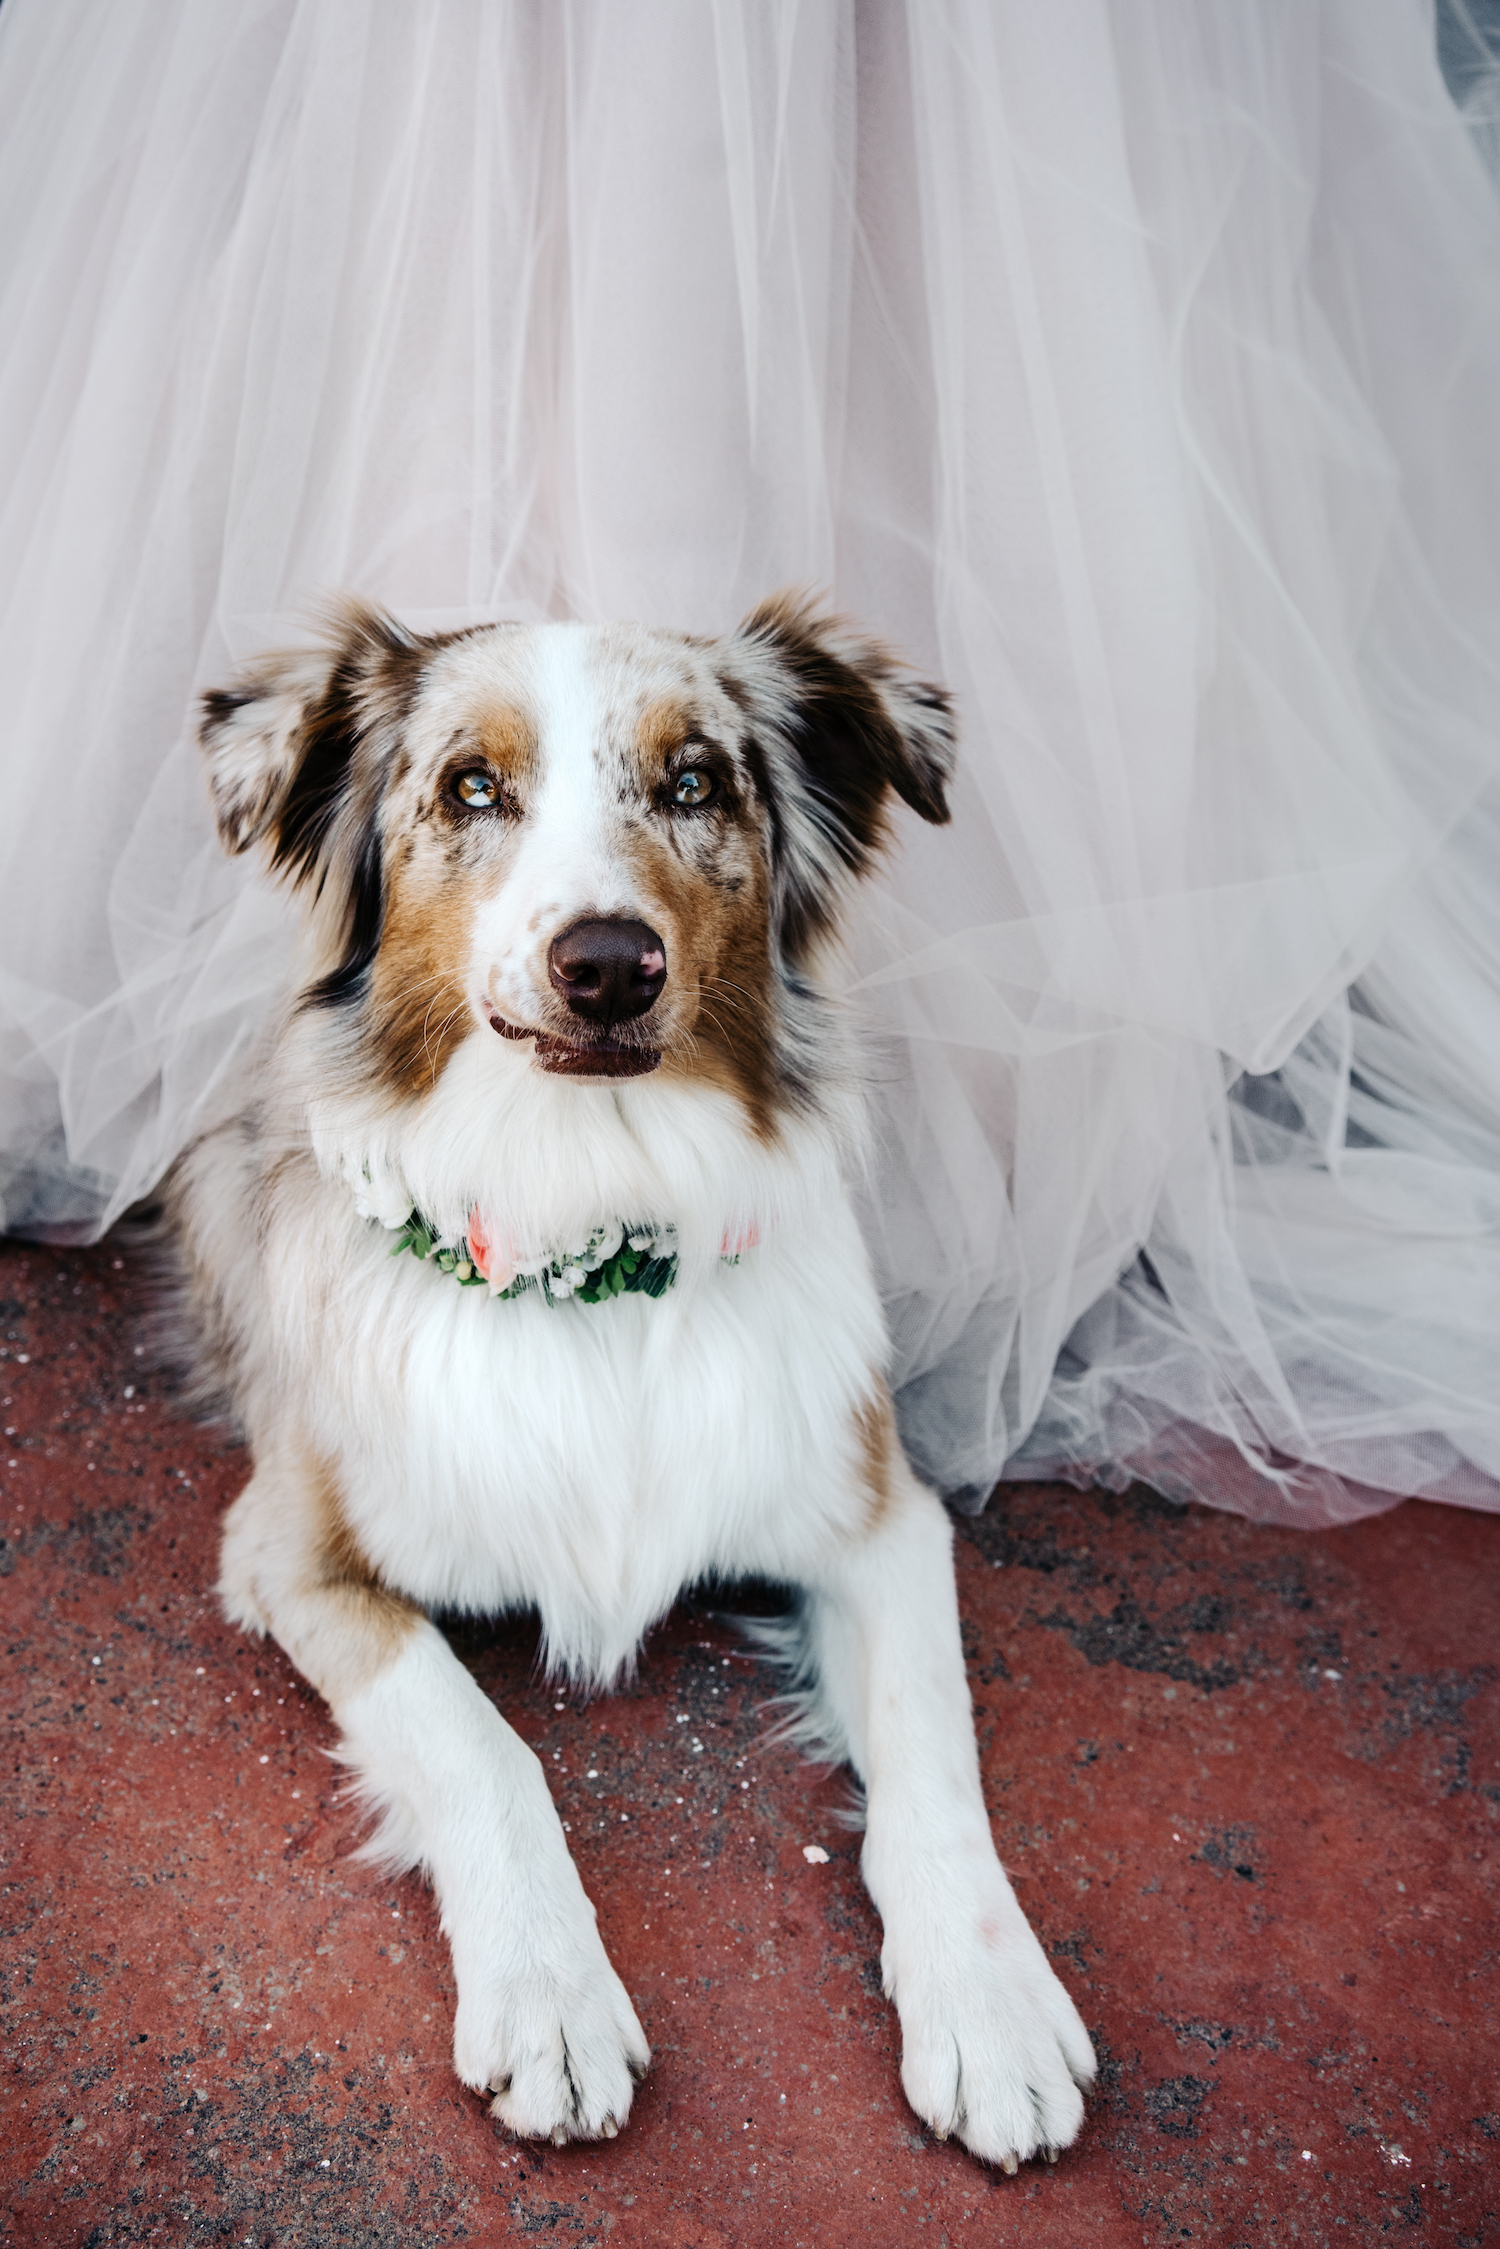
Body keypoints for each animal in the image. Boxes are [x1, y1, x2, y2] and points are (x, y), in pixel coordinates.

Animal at [169, 593, 1097, 2159]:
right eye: (472, 787)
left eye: (695, 784)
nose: (608, 962)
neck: (588, 1236)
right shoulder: (290, 1554)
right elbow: (481, 1743)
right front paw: (550, 1996)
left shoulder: (879, 1517)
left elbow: (934, 1750)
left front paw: (993, 2008)